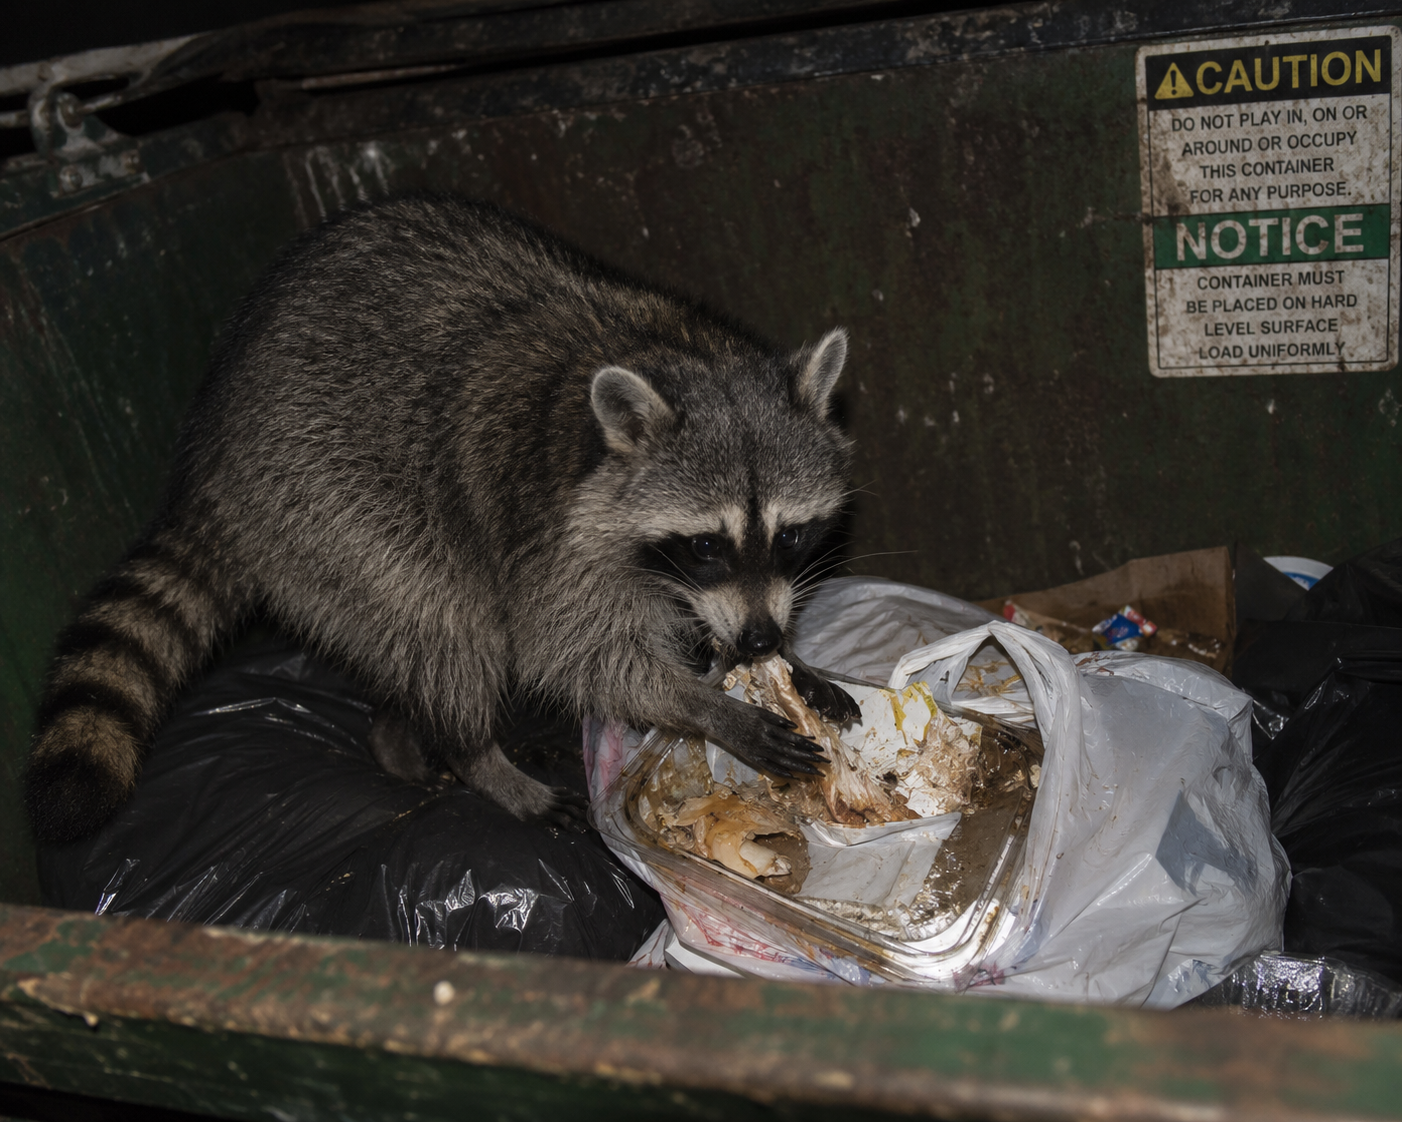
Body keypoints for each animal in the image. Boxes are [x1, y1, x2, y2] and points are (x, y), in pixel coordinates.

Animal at [24, 195, 859, 844]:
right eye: (706, 545)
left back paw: (401, 732)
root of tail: (210, 465)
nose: (762, 639)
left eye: (791, 535)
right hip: (324, 505)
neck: (679, 352)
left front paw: (790, 665)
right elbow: (578, 657)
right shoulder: (550, 538)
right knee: (444, 623)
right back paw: (474, 754)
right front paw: (703, 704)